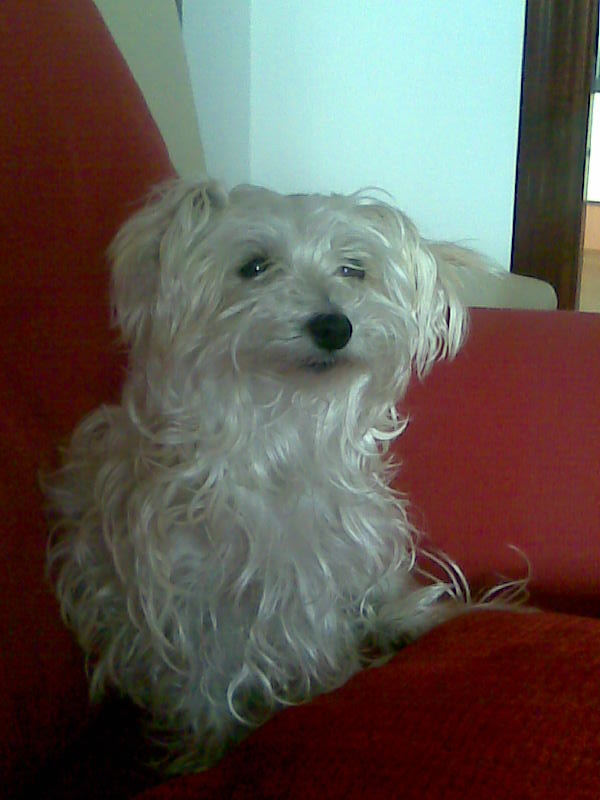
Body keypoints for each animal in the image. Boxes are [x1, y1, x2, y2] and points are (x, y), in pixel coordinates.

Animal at [46, 180, 492, 771]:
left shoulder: (332, 561)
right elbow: (204, 687)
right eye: (254, 266)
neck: (283, 425)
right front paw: (210, 752)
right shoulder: (192, 601)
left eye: (353, 269)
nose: (334, 325)